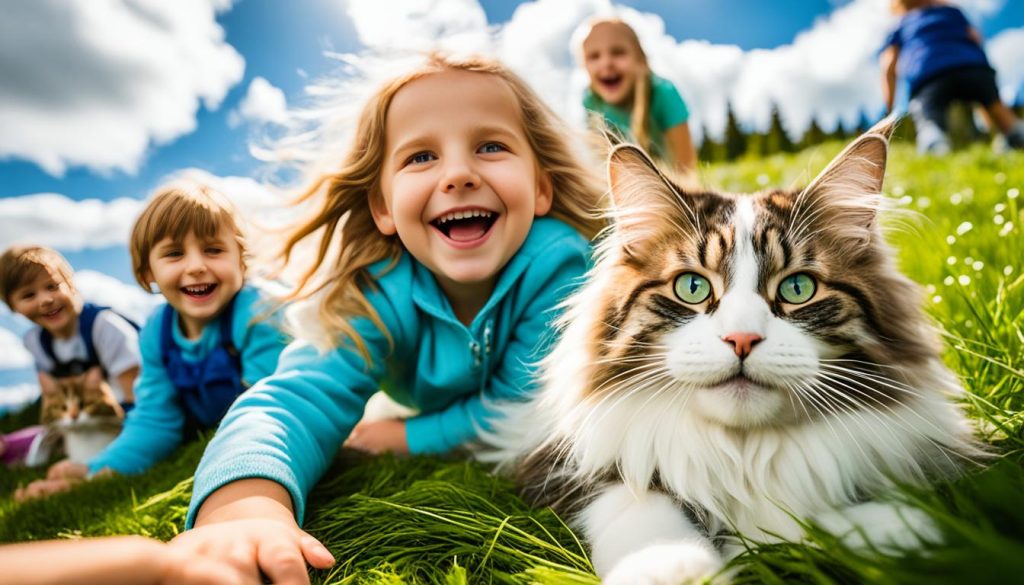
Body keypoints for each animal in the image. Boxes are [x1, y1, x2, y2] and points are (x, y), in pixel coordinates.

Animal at [495, 121, 983, 581]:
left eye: (797, 288)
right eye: (691, 287)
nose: (742, 339)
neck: (743, 455)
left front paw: (903, 534)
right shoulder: (560, 462)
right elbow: (634, 499)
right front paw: (672, 568)